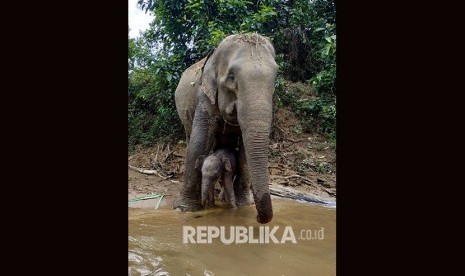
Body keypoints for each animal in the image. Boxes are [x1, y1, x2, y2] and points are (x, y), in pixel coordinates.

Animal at [173, 34, 276, 224]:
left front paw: (244, 205)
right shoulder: (204, 96)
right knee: (191, 137)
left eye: (274, 80)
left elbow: (244, 153)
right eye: (231, 77)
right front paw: (184, 209)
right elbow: (199, 142)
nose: (258, 218)